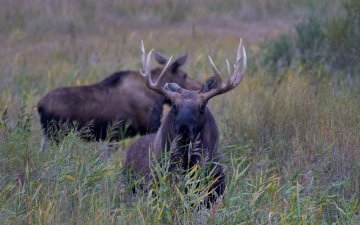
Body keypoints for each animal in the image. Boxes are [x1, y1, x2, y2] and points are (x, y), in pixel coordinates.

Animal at [37, 50, 201, 149]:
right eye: (185, 75)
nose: (199, 86)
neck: (159, 98)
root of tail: (39, 106)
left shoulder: (113, 137)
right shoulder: (149, 127)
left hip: (48, 135)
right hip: (55, 134)